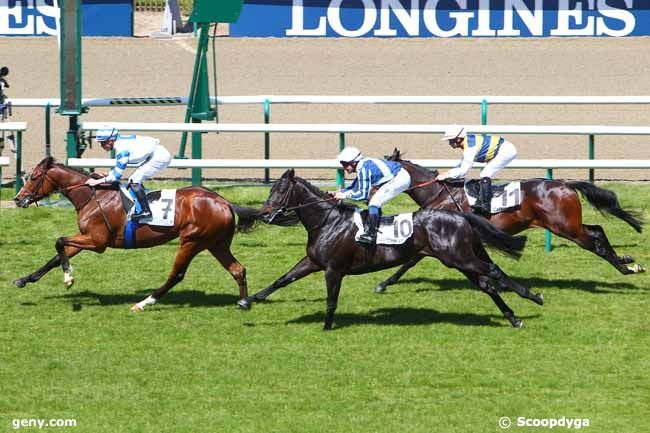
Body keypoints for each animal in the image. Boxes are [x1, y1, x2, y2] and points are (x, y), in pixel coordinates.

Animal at [10, 157, 258, 308]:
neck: (92, 196)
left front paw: (69, 278)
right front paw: (24, 279)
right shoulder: (86, 237)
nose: (18, 199)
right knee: (238, 270)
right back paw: (244, 303)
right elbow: (56, 256)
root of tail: (225, 202)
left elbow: (59, 241)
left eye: (33, 177)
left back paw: (144, 303)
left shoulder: (97, 242)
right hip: (216, 243)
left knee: (176, 274)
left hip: (192, 240)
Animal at [235, 168, 540, 328]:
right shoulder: (312, 262)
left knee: (493, 271)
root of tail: (460, 216)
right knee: (487, 284)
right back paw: (512, 317)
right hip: (460, 259)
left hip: (459, 257)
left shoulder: (333, 269)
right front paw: (247, 301)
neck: (327, 221)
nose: (265, 214)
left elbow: (331, 299)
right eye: (270, 191)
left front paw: (326, 326)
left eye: (278, 191)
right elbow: (282, 279)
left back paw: (533, 296)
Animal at [374, 148, 644, 294]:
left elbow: (410, 261)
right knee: (597, 230)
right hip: (569, 225)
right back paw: (627, 261)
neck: (438, 194)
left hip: (566, 228)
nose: (369, 194)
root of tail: (565, 184)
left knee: (595, 239)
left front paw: (384, 283)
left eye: (380, 172)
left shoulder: (439, 235)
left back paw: (626, 268)